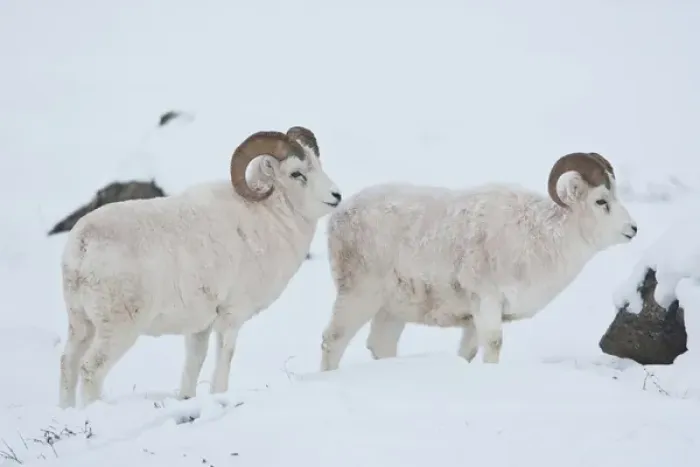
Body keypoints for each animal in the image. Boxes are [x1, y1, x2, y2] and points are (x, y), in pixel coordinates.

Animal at [58, 126, 342, 408]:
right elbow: (224, 360)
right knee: (90, 370)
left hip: (80, 324)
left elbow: (194, 365)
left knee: (68, 363)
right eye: (297, 173)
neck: (267, 219)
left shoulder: (199, 327)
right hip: (117, 330)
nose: (336, 196)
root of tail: (83, 244)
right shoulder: (231, 316)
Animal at [320, 152, 637, 371]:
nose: (632, 229)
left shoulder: (473, 319)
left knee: (381, 345)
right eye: (601, 201)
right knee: (333, 340)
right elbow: (493, 346)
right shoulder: (488, 303)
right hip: (359, 297)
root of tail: (340, 216)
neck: (539, 237)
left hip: (390, 310)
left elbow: (468, 353)